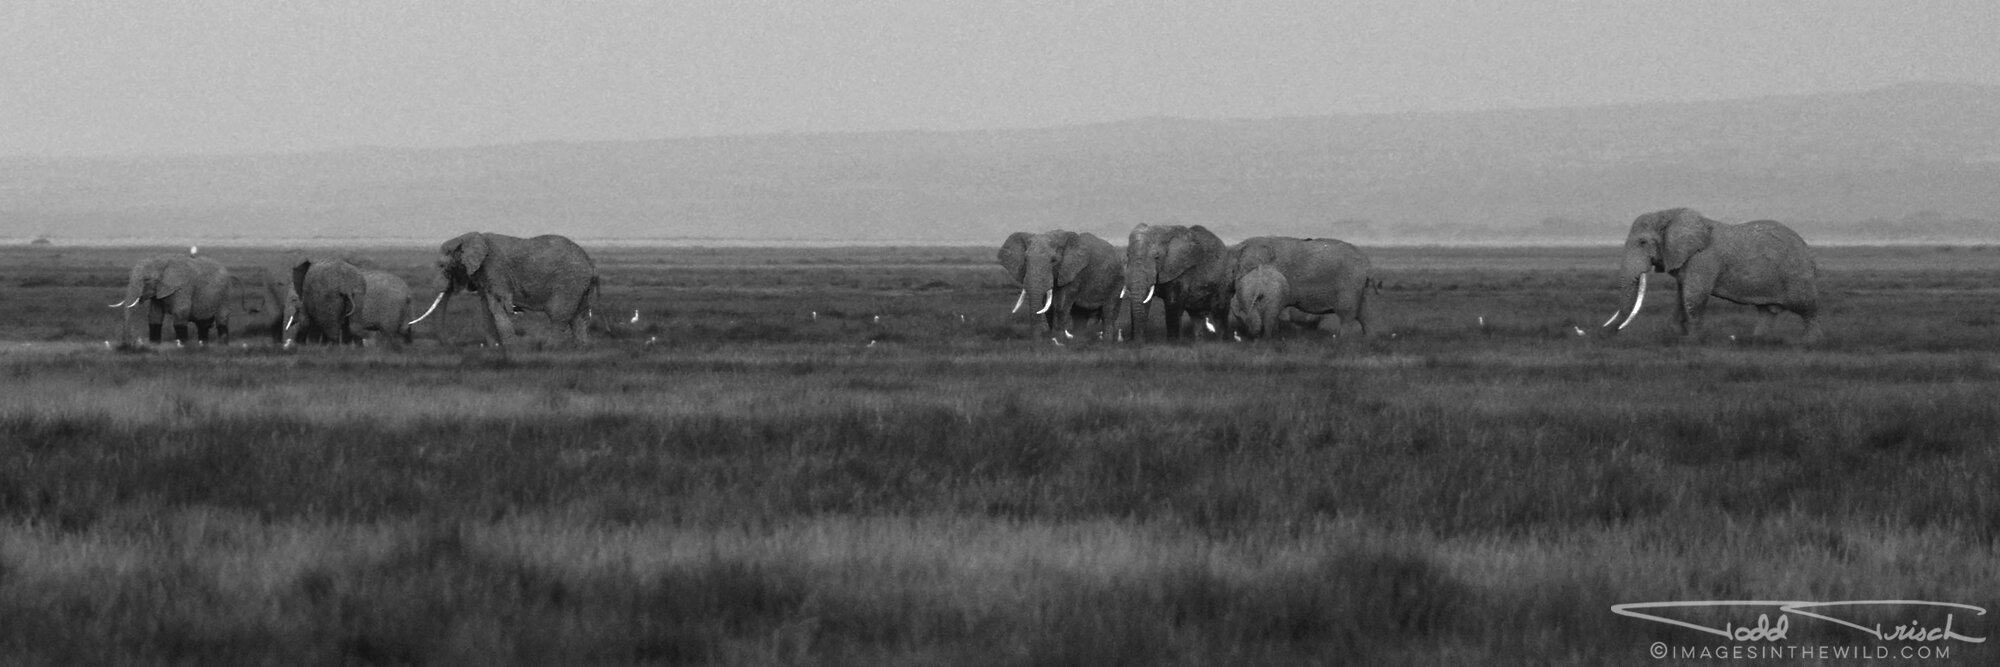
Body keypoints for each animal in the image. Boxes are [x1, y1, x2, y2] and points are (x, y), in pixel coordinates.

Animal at [402, 231, 596, 347]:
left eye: (443, 266)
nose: (452, 345)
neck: (468, 237)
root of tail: (590, 262)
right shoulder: (483, 274)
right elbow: (486, 308)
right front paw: (494, 347)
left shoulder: (495, 269)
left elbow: (497, 306)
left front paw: (512, 348)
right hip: (579, 286)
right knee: (580, 317)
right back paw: (581, 349)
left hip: (568, 283)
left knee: (559, 316)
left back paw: (549, 348)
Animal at [1000, 231, 1128, 341]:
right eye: (1026, 259)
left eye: (1053, 260)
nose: (1037, 341)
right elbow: (1047, 305)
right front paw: (1052, 339)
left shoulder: (1073, 271)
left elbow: (1061, 303)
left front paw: (1057, 339)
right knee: (1079, 314)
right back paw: (1079, 338)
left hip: (1118, 279)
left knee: (1109, 311)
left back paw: (1106, 341)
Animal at [1232, 235, 1376, 339]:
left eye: (1238, 266)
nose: (1244, 334)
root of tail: (1367, 265)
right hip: (1361, 287)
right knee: (1365, 314)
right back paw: (1367, 339)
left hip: (1350, 285)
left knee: (1347, 314)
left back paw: (1343, 340)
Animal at [1600, 208, 1824, 341]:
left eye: (1642, 242)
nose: (1612, 332)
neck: (1671, 214)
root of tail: (1809, 251)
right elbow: (1681, 295)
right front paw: (1677, 334)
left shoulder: (1704, 259)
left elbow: (1694, 296)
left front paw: (1693, 340)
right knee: (1766, 311)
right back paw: (1758, 341)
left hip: (1797, 275)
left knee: (1808, 309)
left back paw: (1809, 342)